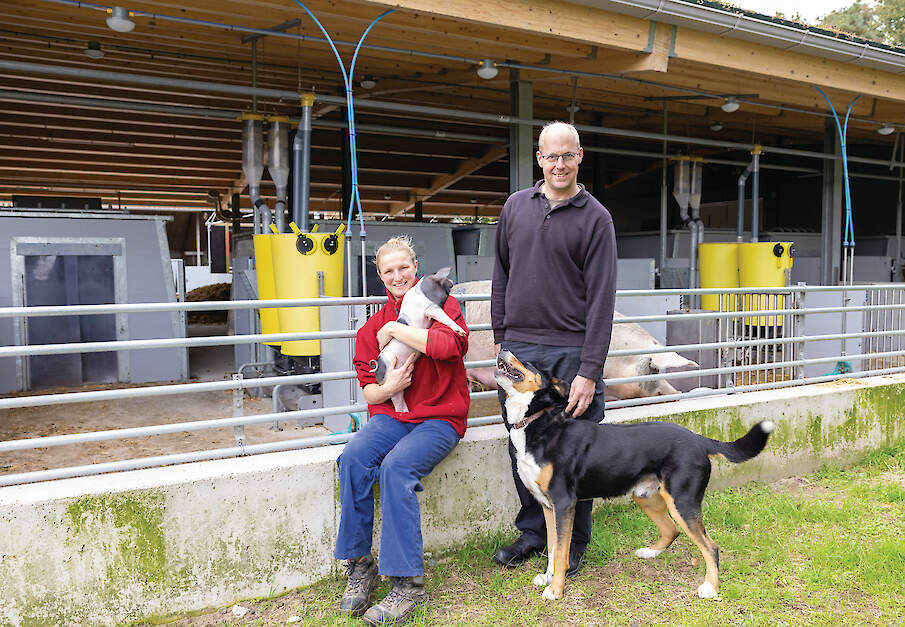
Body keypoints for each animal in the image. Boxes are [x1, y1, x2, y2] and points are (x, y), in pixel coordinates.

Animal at [494, 350, 768, 600]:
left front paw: (555, 590)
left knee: (711, 547)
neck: (536, 423)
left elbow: (561, 551)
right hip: (647, 497)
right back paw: (651, 552)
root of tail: (699, 439)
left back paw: (710, 587)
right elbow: (552, 548)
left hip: (682, 502)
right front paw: (547, 577)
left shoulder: (564, 504)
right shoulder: (548, 506)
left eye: (528, 362)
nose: (502, 348)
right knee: (671, 530)